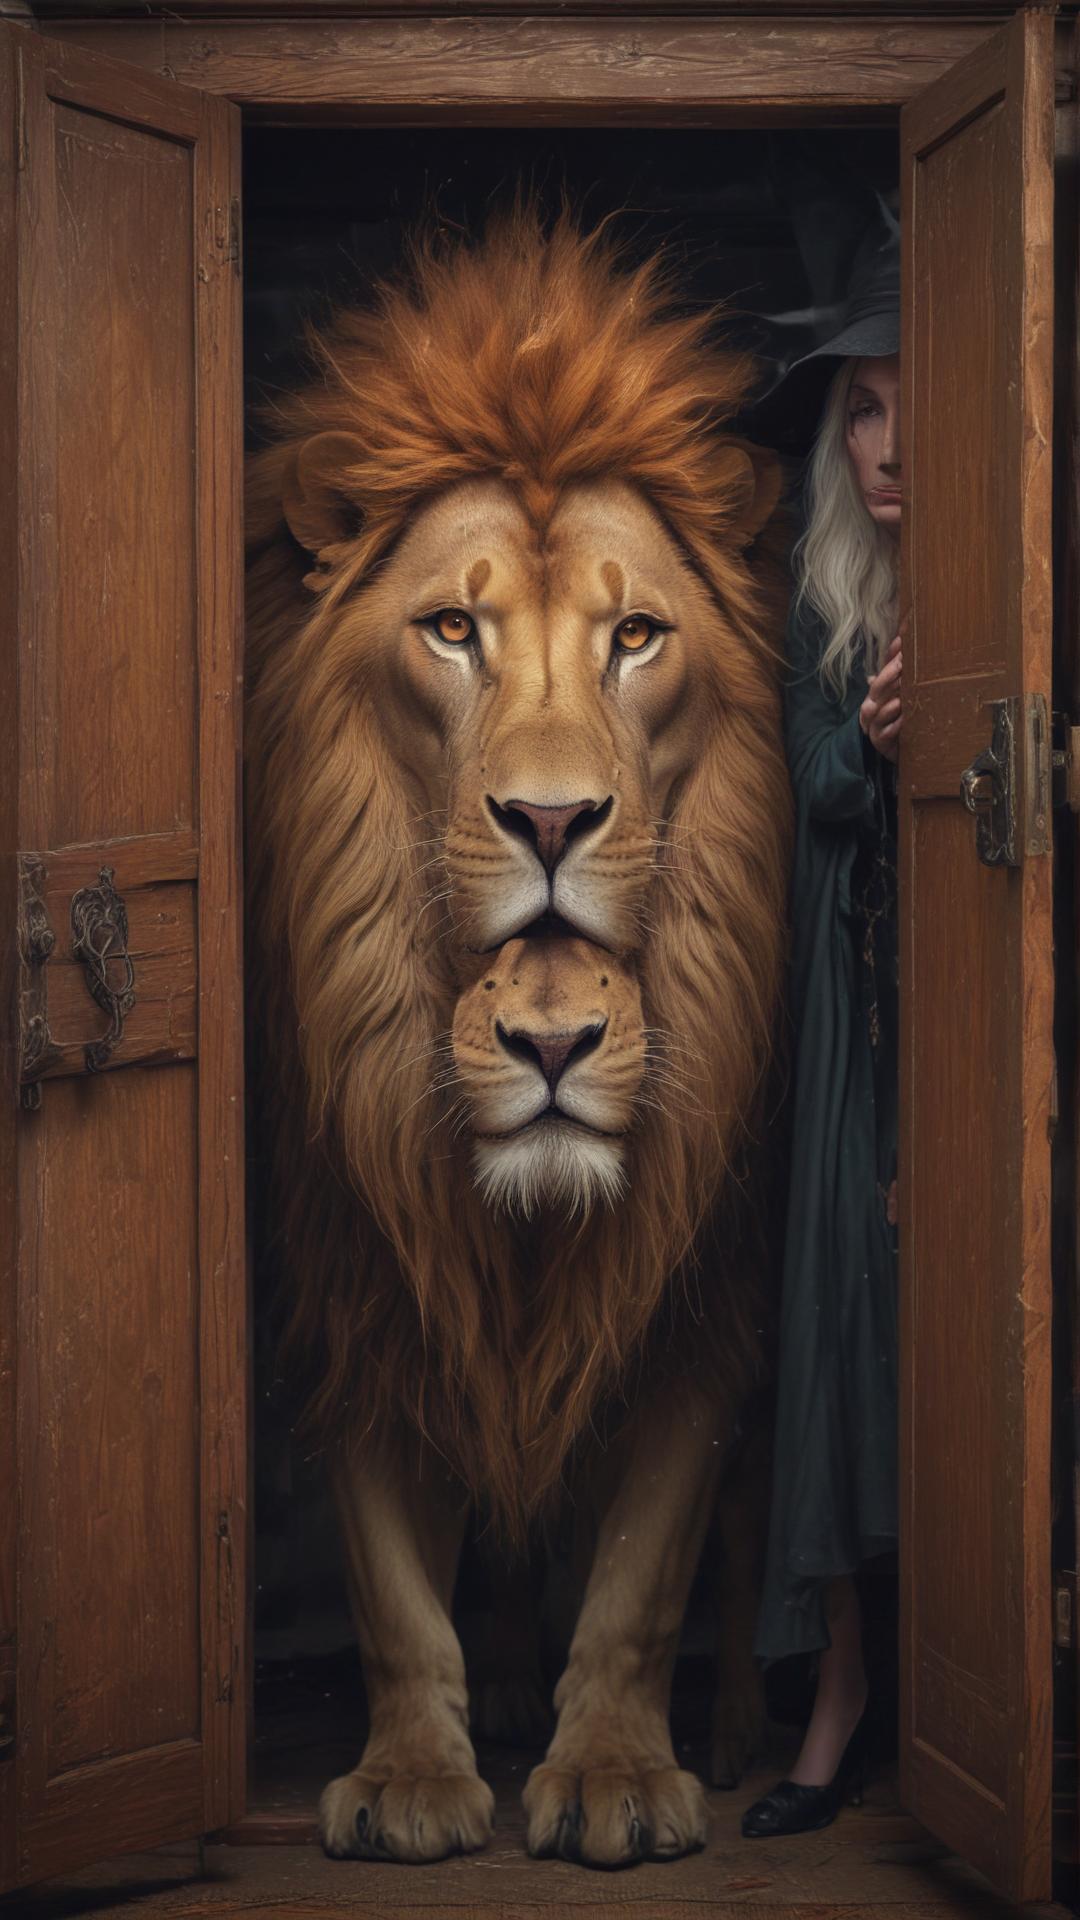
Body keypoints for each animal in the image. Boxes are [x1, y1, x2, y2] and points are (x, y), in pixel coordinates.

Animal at [245, 211, 792, 1869]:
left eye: (636, 635)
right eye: (449, 628)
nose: (551, 820)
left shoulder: (698, 1302)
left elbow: (647, 1570)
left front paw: (616, 1771)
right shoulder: (363, 1276)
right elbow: (388, 1581)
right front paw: (415, 1777)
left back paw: (740, 1734)